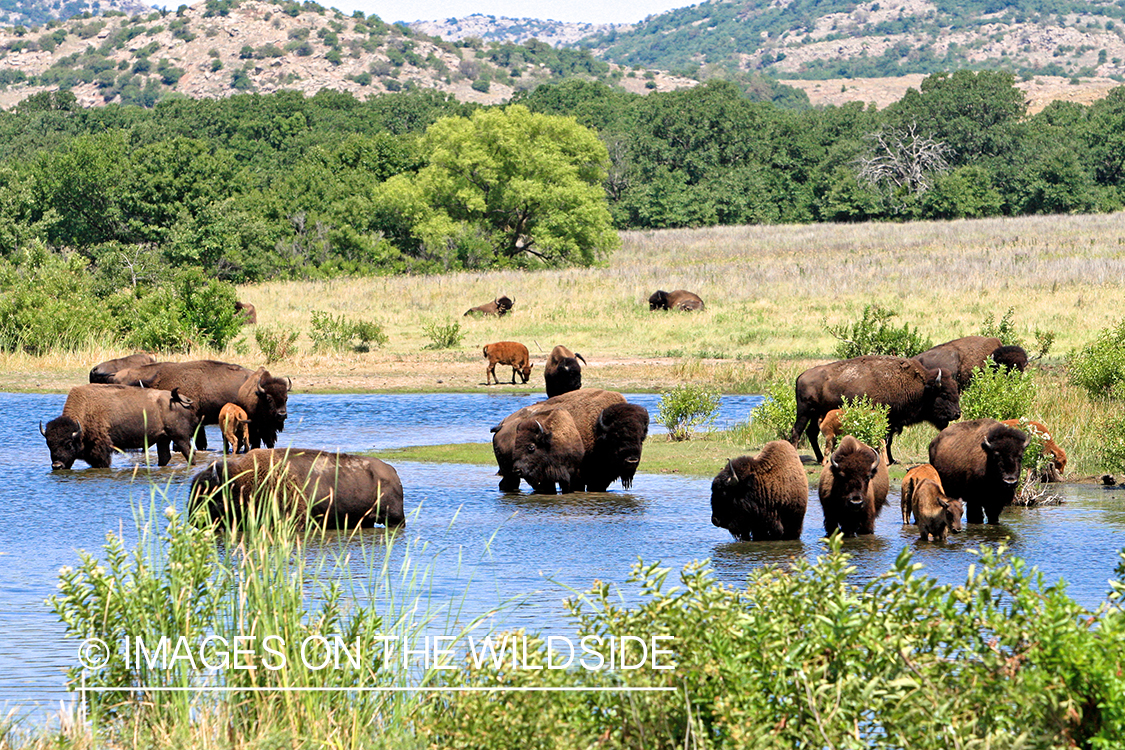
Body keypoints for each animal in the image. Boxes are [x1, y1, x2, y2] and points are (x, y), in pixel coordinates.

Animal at [41, 384, 199, 469]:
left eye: (68, 444)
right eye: (49, 444)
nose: (56, 466)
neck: (86, 408)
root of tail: (179, 399)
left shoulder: (101, 450)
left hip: (180, 437)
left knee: (189, 453)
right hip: (163, 439)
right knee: (165, 456)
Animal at [791, 356, 961, 465]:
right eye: (944, 394)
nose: (957, 413)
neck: (921, 388)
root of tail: (801, 376)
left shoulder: (892, 422)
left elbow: (888, 441)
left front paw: (892, 460)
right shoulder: (887, 419)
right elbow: (886, 440)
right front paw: (888, 460)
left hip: (817, 414)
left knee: (811, 433)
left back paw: (819, 459)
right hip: (804, 412)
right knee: (797, 431)